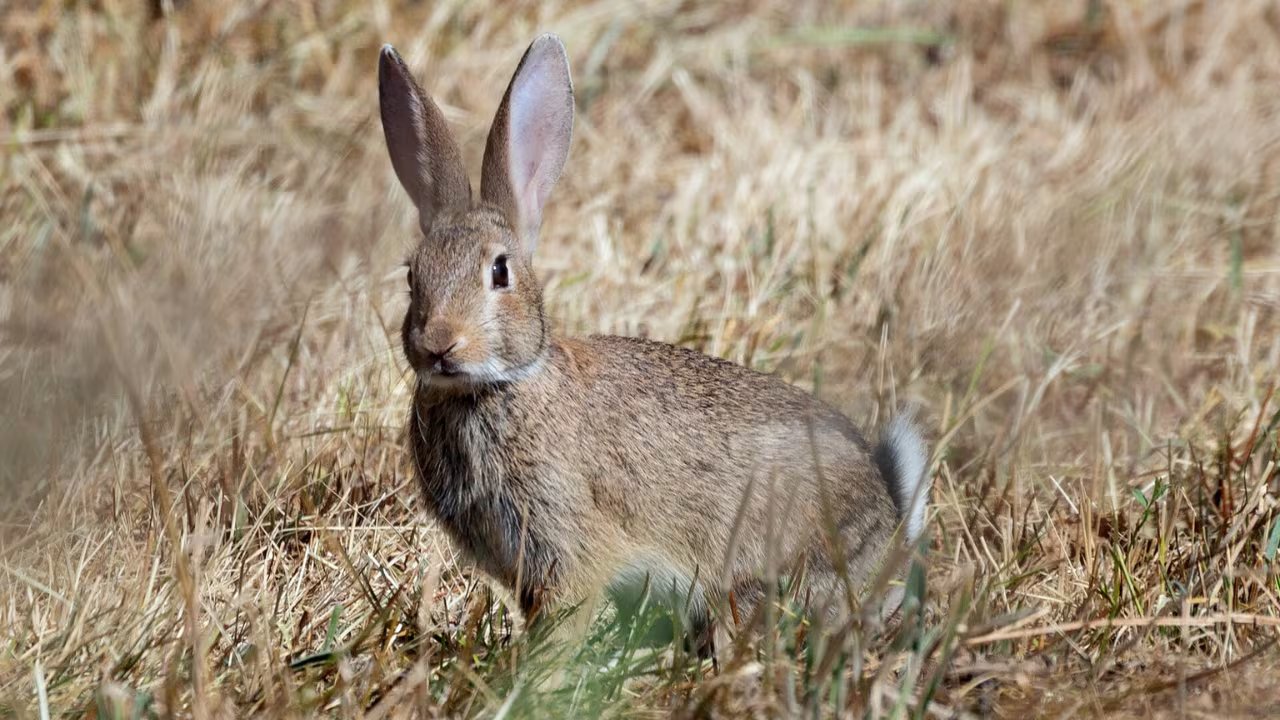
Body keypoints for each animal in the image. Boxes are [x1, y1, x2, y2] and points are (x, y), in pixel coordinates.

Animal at [378, 33, 931, 656]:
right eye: (412, 276)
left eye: (500, 272)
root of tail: (893, 533)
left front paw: (533, 671)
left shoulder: (566, 545)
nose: (439, 345)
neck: (500, 386)